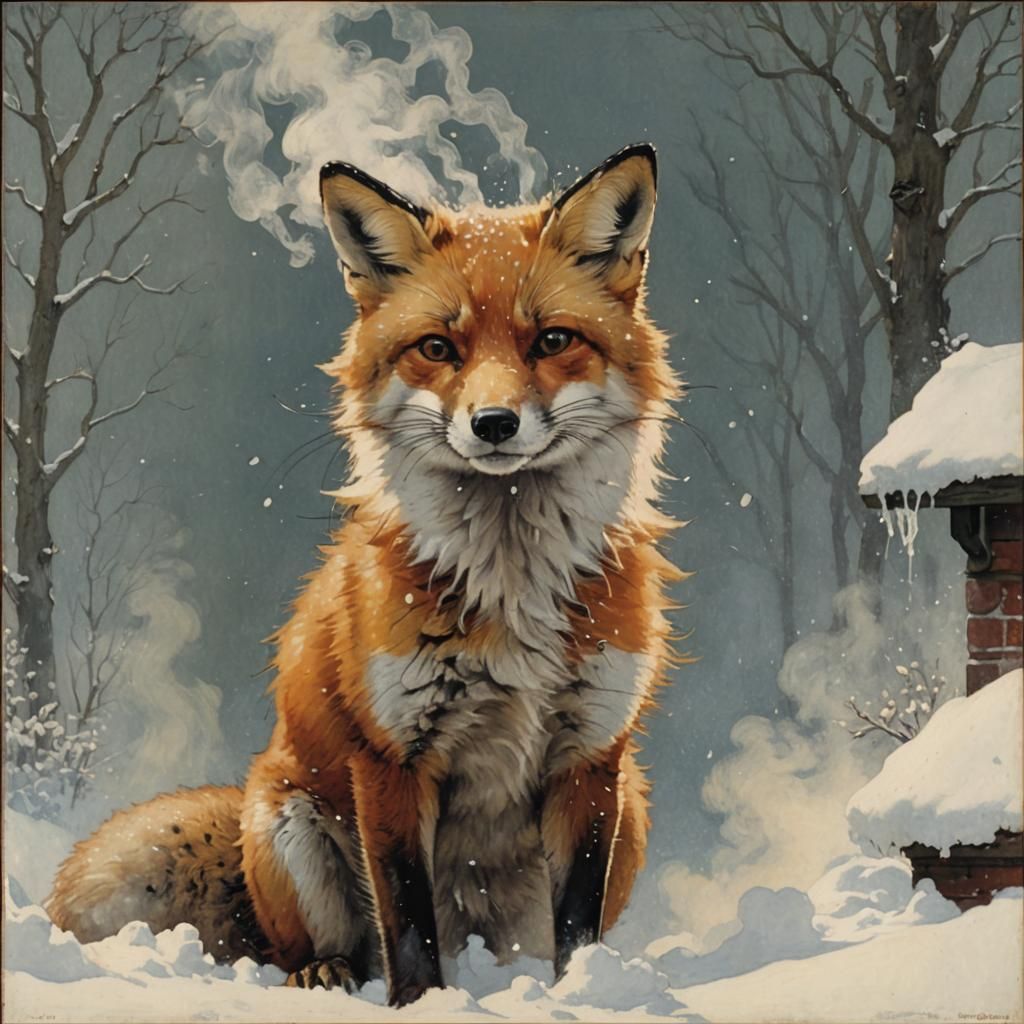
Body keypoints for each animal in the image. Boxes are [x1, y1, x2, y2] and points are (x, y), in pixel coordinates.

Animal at [46, 143, 685, 1006]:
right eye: (438, 348)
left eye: (551, 340)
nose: (493, 424)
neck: (510, 593)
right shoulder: (390, 758)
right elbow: (406, 917)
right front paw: (423, 1007)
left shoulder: (592, 755)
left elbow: (578, 923)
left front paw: (578, 995)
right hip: (290, 822)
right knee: (324, 946)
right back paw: (327, 972)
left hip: (633, 810)